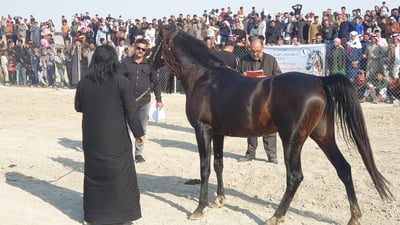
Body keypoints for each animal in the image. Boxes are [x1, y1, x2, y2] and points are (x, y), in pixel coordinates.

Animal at [150, 26, 390, 225]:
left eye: (156, 41)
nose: (148, 63)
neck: (205, 77)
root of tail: (320, 80)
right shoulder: (218, 133)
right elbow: (218, 164)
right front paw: (219, 199)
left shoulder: (203, 130)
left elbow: (205, 168)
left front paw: (199, 209)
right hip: (323, 136)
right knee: (344, 168)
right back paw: (354, 216)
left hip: (292, 140)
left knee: (295, 177)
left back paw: (276, 216)